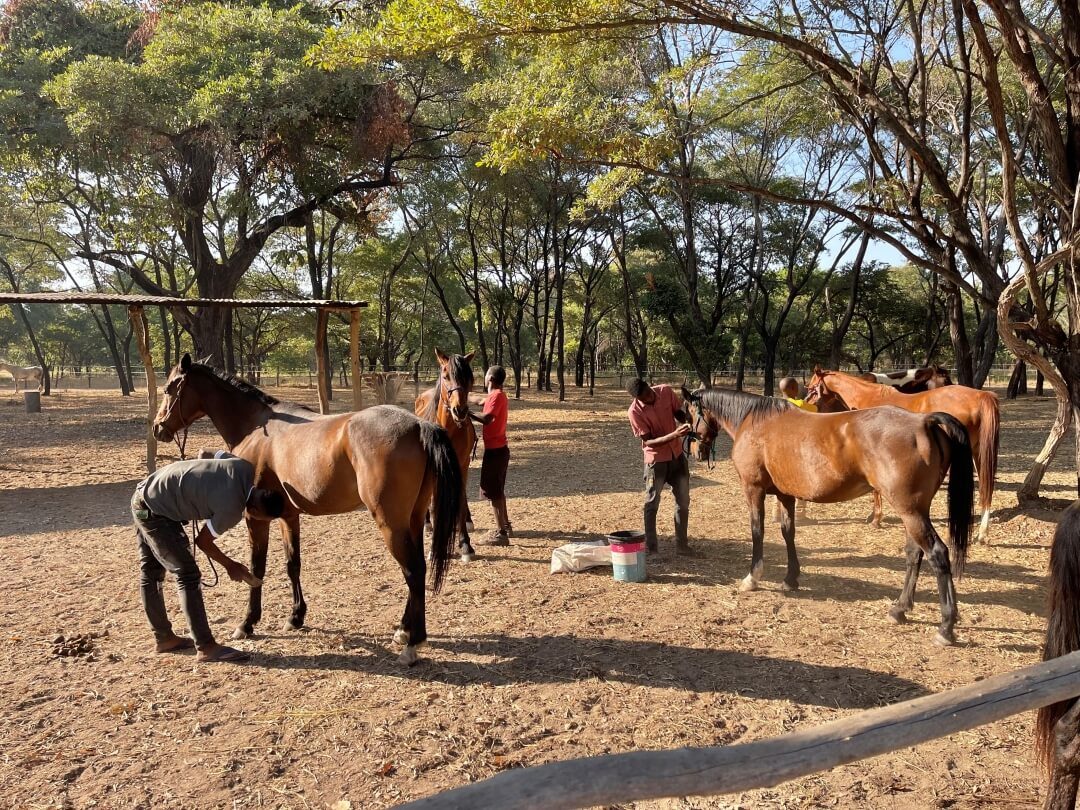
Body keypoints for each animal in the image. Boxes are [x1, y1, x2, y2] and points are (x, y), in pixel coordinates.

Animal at [152, 354, 463, 666]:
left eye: (168, 389)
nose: (158, 428)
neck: (255, 427)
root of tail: (418, 426)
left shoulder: (256, 518)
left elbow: (256, 567)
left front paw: (247, 623)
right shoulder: (288, 517)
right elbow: (293, 565)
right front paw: (295, 617)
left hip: (391, 524)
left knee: (413, 571)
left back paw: (412, 643)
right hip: (413, 519)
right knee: (417, 568)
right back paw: (403, 630)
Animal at [414, 348, 477, 562]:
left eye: (469, 377)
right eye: (445, 376)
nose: (460, 410)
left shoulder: (463, 465)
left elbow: (461, 501)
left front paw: (465, 544)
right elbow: (435, 505)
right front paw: (435, 548)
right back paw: (426, 523)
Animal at [682, 385, 974, 646]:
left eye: (688, 413)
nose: (695, 451)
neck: (754, 420)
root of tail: (924, 421)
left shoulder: (754, 490)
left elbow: (758, 531)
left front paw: (753, 578)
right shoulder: (785, 494)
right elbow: (788, 532)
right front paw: (791, 578)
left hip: (910, 512)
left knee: (937, 553)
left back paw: (945, 627)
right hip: (914, 512)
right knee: (914, 554)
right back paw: (899, 609)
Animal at [806, 367, 999, 543]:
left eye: (811, 387)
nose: (807, 401)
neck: (868, 397)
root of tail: (981, 396)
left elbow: (876, 490)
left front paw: (876, 519)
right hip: (978, 453)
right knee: (986, 488)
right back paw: (982, 533)